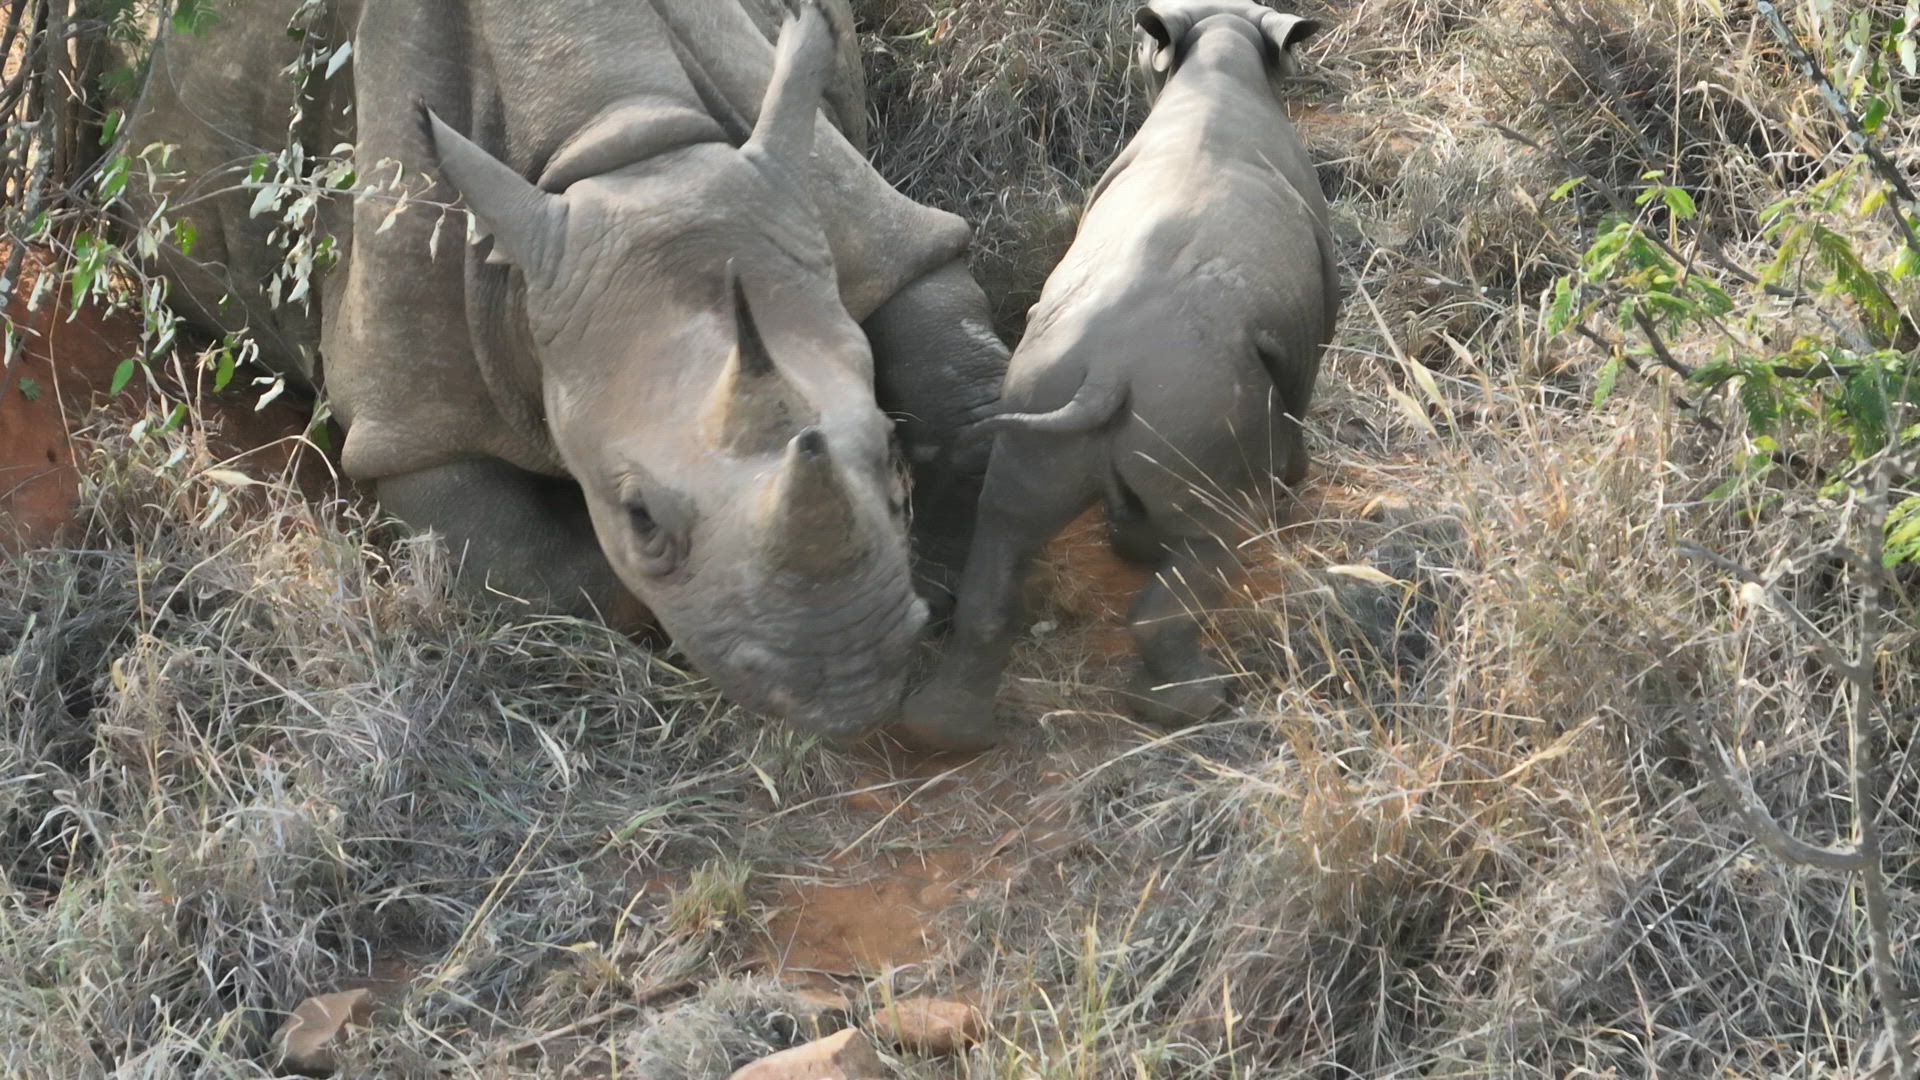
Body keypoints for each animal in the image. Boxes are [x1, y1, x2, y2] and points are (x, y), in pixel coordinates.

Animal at [117, 0, 1010, 740]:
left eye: (888, 450)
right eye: (638, 516)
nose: (851, 683)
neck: (622, 144)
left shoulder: (850, 219)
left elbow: (964, 398)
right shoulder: (414, 427)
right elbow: (525, 567)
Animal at [900, 0, 1339, 751]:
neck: (1222, 52)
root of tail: (1106, 372)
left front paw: (1131, 544)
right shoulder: (1313, 305)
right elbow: (1298, 399)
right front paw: (1294, 484)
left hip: (1050, 386)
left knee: (1005, 522)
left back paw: (940, 736)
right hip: (1191, 396)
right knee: (1221, 529)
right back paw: (1193, 706)